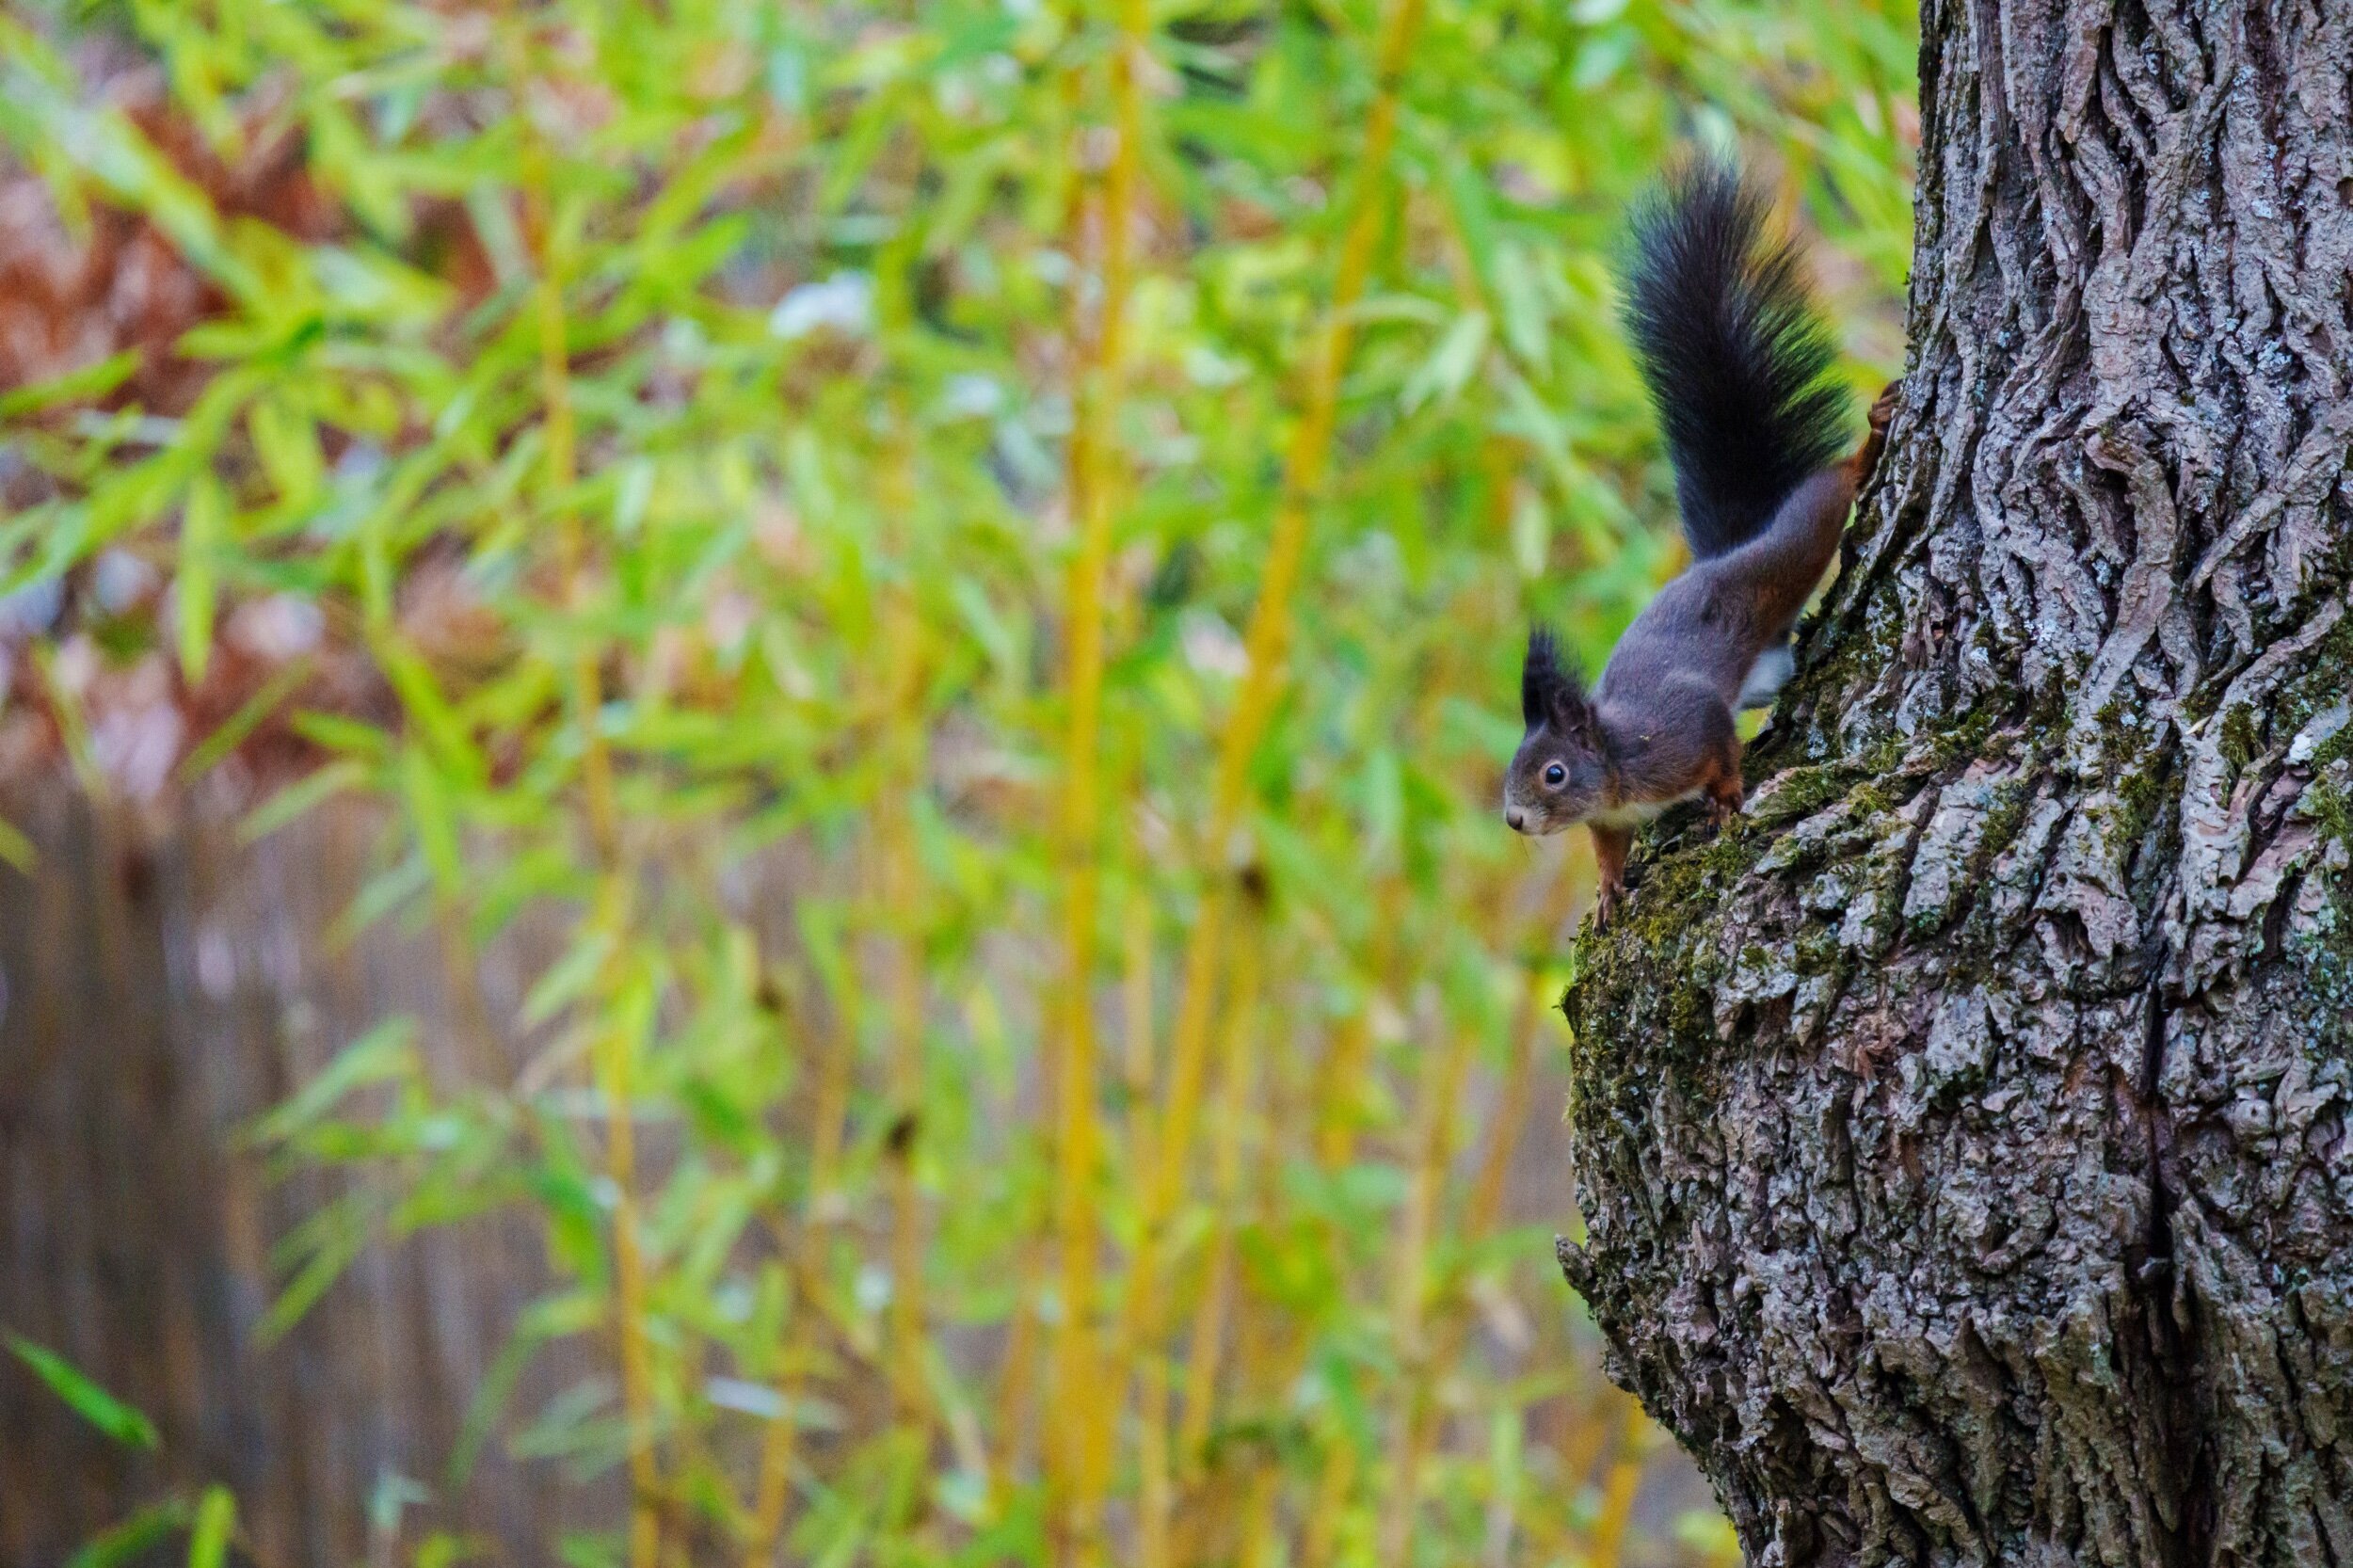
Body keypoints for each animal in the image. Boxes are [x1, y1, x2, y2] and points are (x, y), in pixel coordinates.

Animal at [1502, 160, 1895, 923]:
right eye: (1515, 766)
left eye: (1554, 773)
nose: (1513, 819)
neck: (1618, 770)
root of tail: (1718, 559)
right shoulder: (1612, 819)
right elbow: (1608, 853)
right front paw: (1607, 891)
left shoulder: (1687, 729)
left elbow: (1721, 749)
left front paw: (1726, 801)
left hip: (1790, 552)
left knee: (1823, 498)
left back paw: (1868, 447)